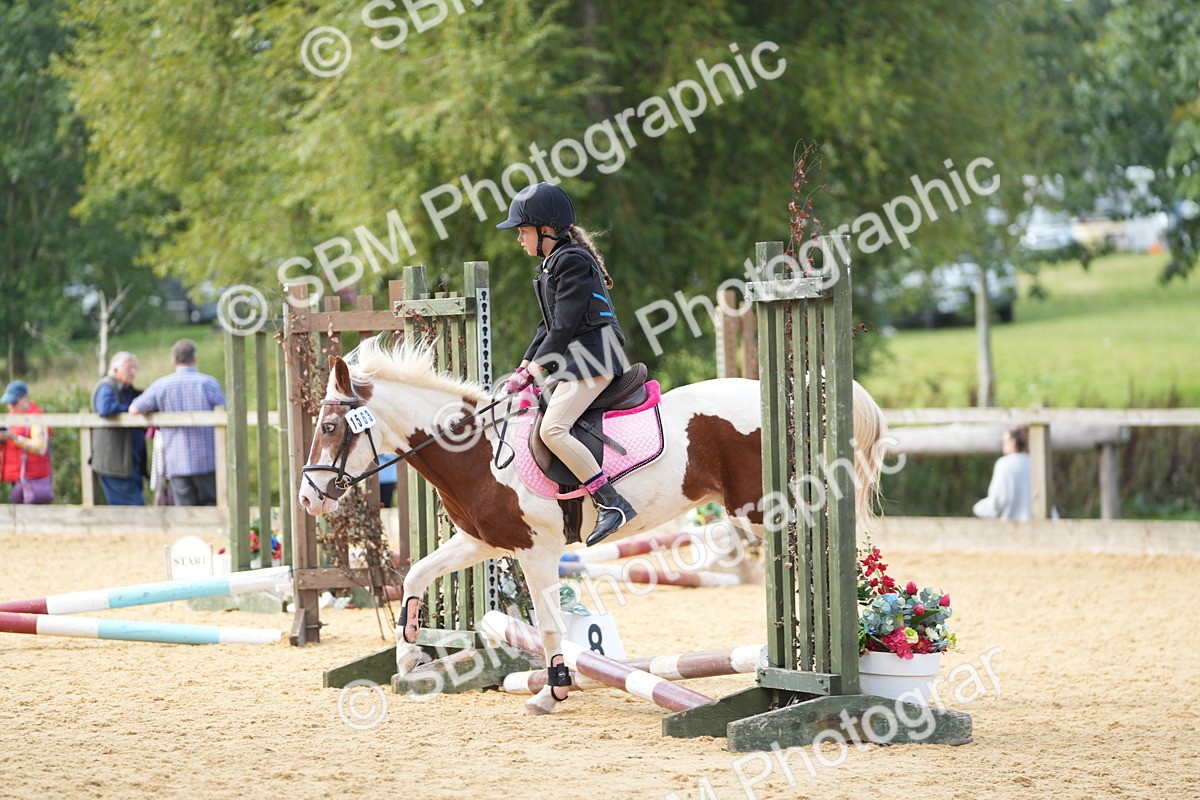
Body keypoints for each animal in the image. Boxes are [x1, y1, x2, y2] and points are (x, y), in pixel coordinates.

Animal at [298, 336, 889, 715]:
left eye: (329, 427)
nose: (306, 499)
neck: (480, 452)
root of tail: (793, 393)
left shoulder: (536, 551)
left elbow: (549, 625)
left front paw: (552, 690)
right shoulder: (480, 541)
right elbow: (417, 574)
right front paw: (409, 654)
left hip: (769, 510)